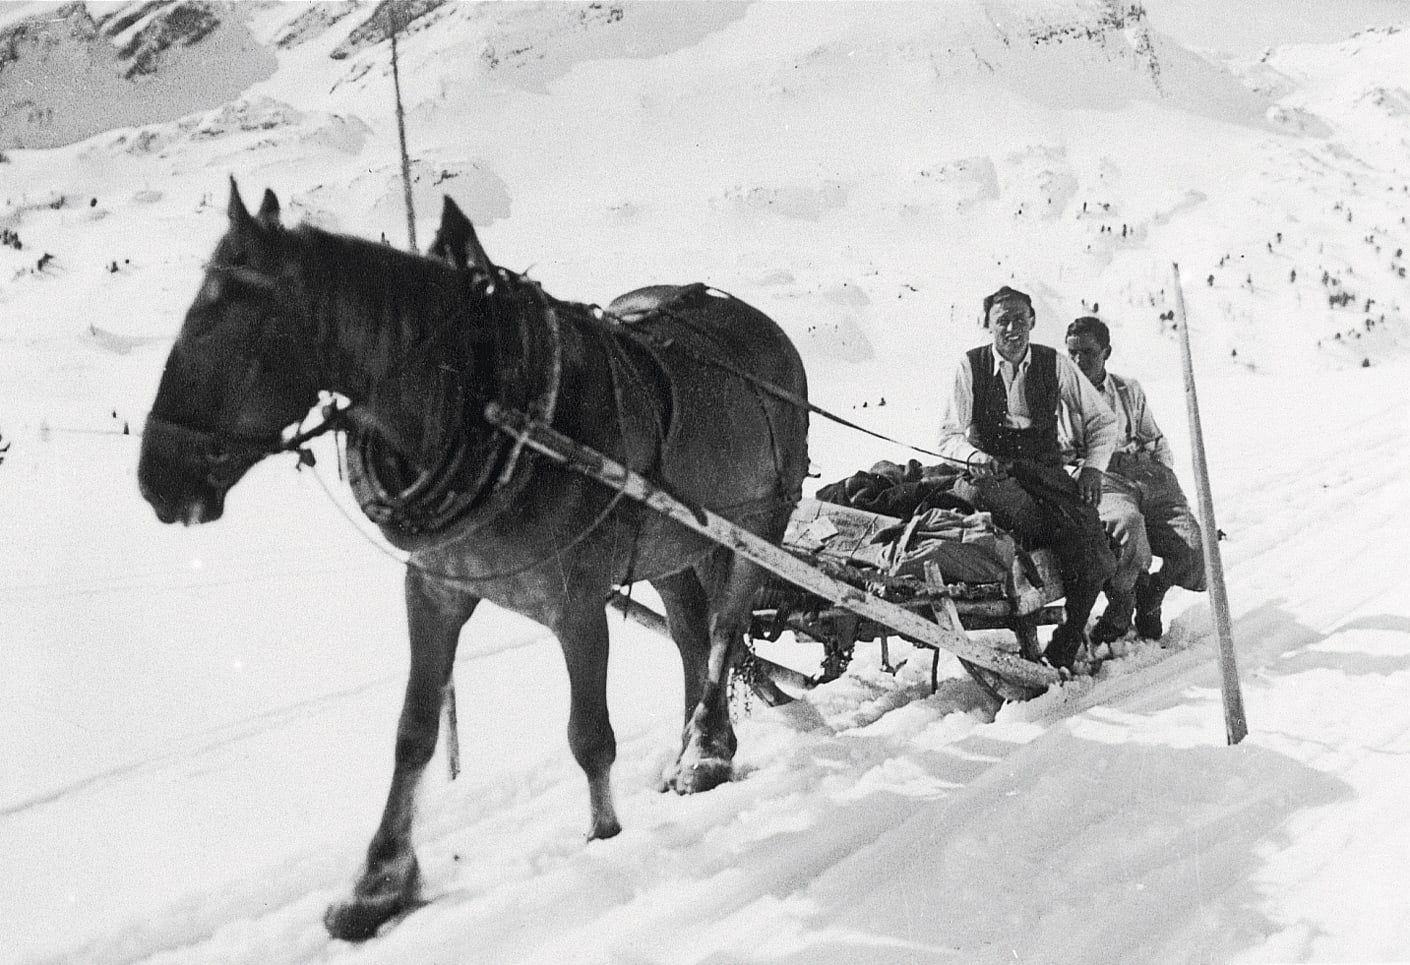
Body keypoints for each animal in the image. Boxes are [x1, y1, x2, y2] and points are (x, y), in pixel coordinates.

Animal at [137, 180, 809, 941]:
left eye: (221, 328)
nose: (157, 479)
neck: (488, 406)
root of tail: (769, 328)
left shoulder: (576, 601)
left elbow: (589, 735)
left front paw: (605, 839)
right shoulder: (434, 588)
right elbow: (413, 733)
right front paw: (377, 884)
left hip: (757, 524)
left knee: (725, 626)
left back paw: (704, 749)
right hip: (673, 545)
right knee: (693, 635)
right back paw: (700, 750)